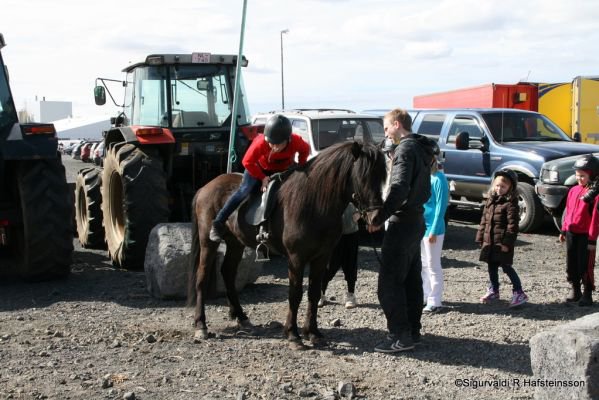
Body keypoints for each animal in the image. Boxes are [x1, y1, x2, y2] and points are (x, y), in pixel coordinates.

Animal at [189, 142, 390, 348]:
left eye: (381, 177)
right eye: (362, 176)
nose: (377, 218)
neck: (314, 203)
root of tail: (205, 188)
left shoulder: (321, 257)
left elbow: (314, 293)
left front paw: (313, 332)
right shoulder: (296, 258)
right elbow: (295, 294)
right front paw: (293, 334)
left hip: (236, 243)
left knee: (228, 273)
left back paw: (241, 316)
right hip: (208, 242)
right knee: (202, 278)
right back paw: (201, 325)